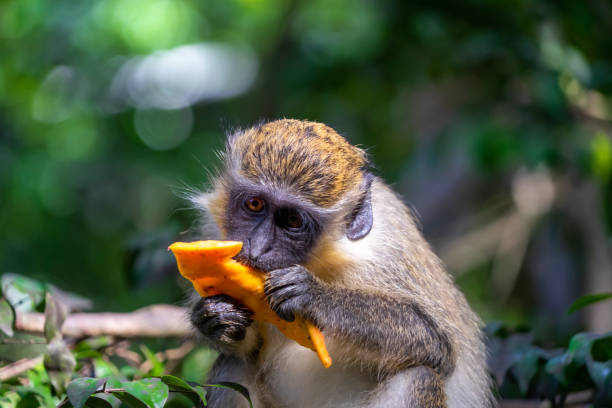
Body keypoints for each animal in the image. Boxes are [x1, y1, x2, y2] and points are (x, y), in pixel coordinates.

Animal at [185, 118, 492, 408]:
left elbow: (437, 344)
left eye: (293, 221)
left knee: (420, 375)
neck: (322, 261)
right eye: (254, 204)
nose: (258, 248)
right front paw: (214, 316)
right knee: (232, 364)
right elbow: (246, 349)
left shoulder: (385, 251)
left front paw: (315, 296)